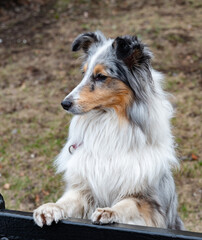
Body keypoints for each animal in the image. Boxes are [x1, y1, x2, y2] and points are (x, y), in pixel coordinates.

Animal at [33, 31, 185, 230]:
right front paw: (50, 208)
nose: (64, 104)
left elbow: (127, 204)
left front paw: (109, 211)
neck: (108, 123)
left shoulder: (150, 203)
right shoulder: (85, 190)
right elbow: (66, 201)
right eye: (84, 73)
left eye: (100, 76)